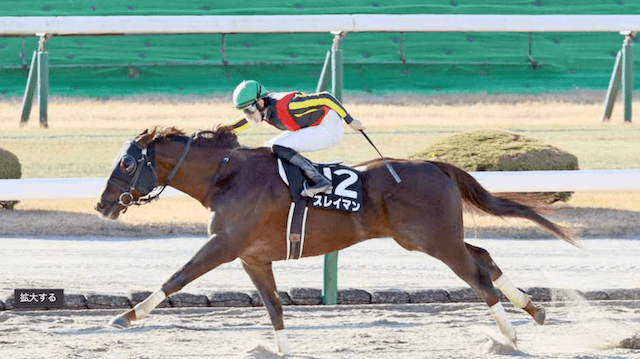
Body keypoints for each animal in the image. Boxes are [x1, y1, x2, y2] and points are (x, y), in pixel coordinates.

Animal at [96, 126, 576, 354]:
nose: (102, 204)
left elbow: (177, 277)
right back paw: (534, 310)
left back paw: (508, 336)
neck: (226, 176)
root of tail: (434, 164)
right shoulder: (253, 257)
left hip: (435, 241)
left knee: (477, 275)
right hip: (430, 238)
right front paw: (283, 351)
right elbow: (274, 307)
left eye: (126, 163)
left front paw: (126, 316)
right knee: (485, 257)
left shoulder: (224, 245)